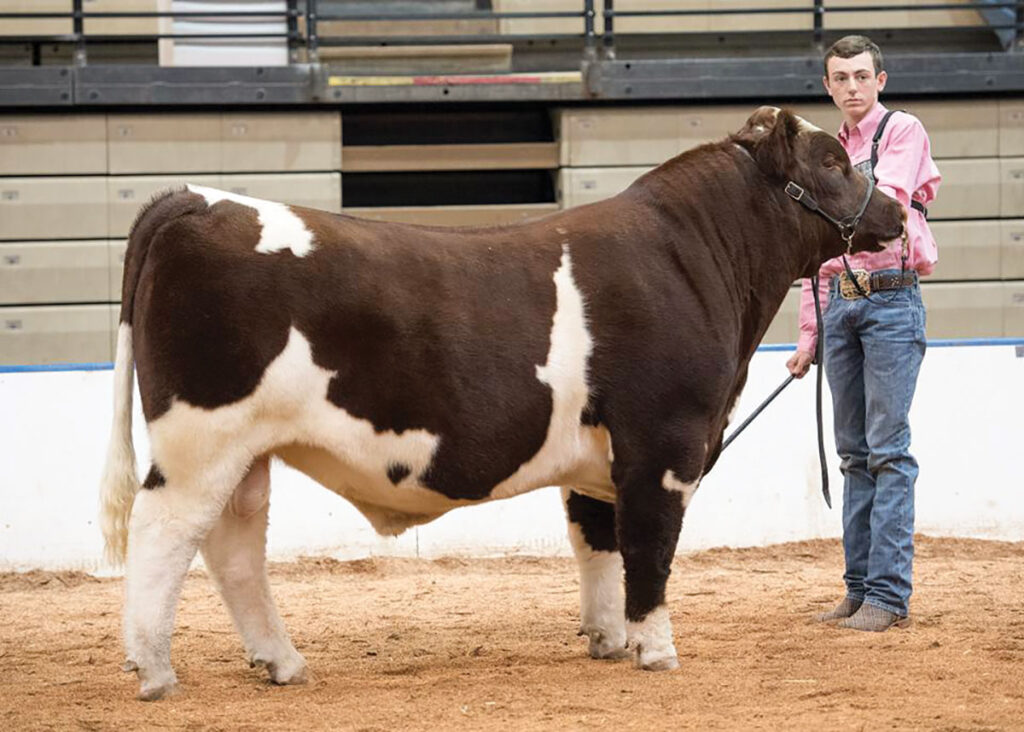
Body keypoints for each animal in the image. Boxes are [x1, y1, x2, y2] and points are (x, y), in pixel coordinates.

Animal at [99, 107, 904, 700]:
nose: (899, 210)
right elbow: (650, 548)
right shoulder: (665, 442)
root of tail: (196, 199)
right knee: (164, 534)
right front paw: (656, 647)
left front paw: (608, 639)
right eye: (833, 163)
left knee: (234, 548)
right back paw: (155, 670)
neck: (696, 261)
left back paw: (281, 662)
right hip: (204, 438)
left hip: (247, 451)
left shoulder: (601, 453)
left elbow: (597, 541)